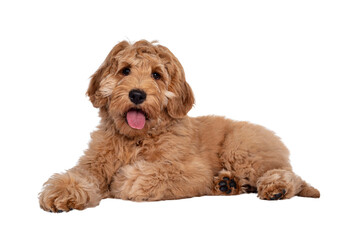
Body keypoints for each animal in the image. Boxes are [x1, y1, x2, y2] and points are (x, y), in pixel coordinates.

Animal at [40, 40, 320, 213]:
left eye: (156, 75)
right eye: (125, 70)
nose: (137, 94)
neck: (136, 139)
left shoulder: (193, 169)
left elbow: (153, 173)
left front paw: (123, 180)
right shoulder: (94, 164)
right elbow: (78, 175)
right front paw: (61, 192)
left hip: (241, 149)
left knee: (289, 175)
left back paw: (276, 188)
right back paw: (227, 184)